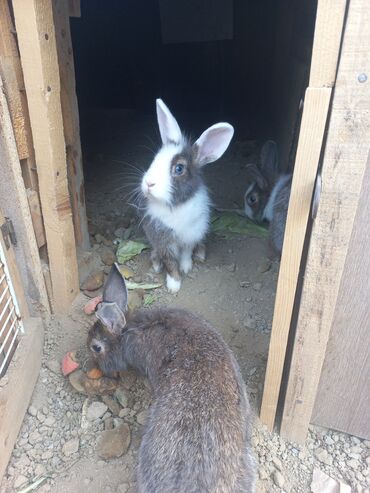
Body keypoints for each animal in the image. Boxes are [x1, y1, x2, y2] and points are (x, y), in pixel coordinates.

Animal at [140, 100, 233, 292]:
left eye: (179, 168)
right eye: (155, 159)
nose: (149, 183)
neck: (176, 205)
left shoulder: (191, 235)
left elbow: (185, 254)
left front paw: (186, 267)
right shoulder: (164, 240)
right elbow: (170, 262)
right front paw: (174, 284)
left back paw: (200, 255)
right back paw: (156, 264)